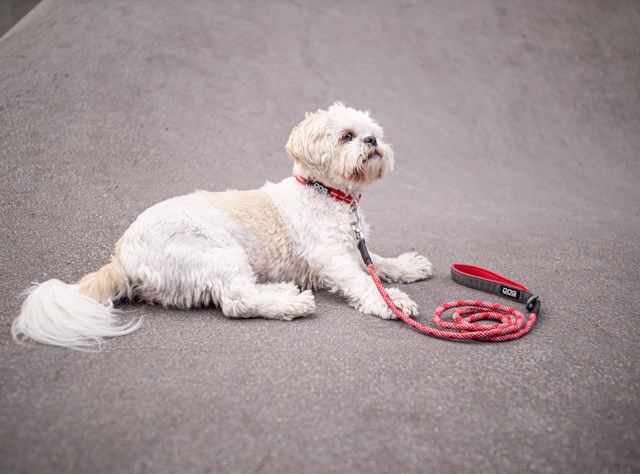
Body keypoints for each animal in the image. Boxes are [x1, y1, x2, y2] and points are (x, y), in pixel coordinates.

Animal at [10, 103, 432, 348]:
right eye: (347, 136)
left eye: (373, 132)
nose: (372, 140)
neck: (326, 193)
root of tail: (122, 257)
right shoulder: (332, 257)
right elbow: (364, 281)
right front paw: (393, 301)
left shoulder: (353, 245)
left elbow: (378, 263)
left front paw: (407, 267)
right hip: (217, 252)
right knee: (236, 300)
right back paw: (289, 302)